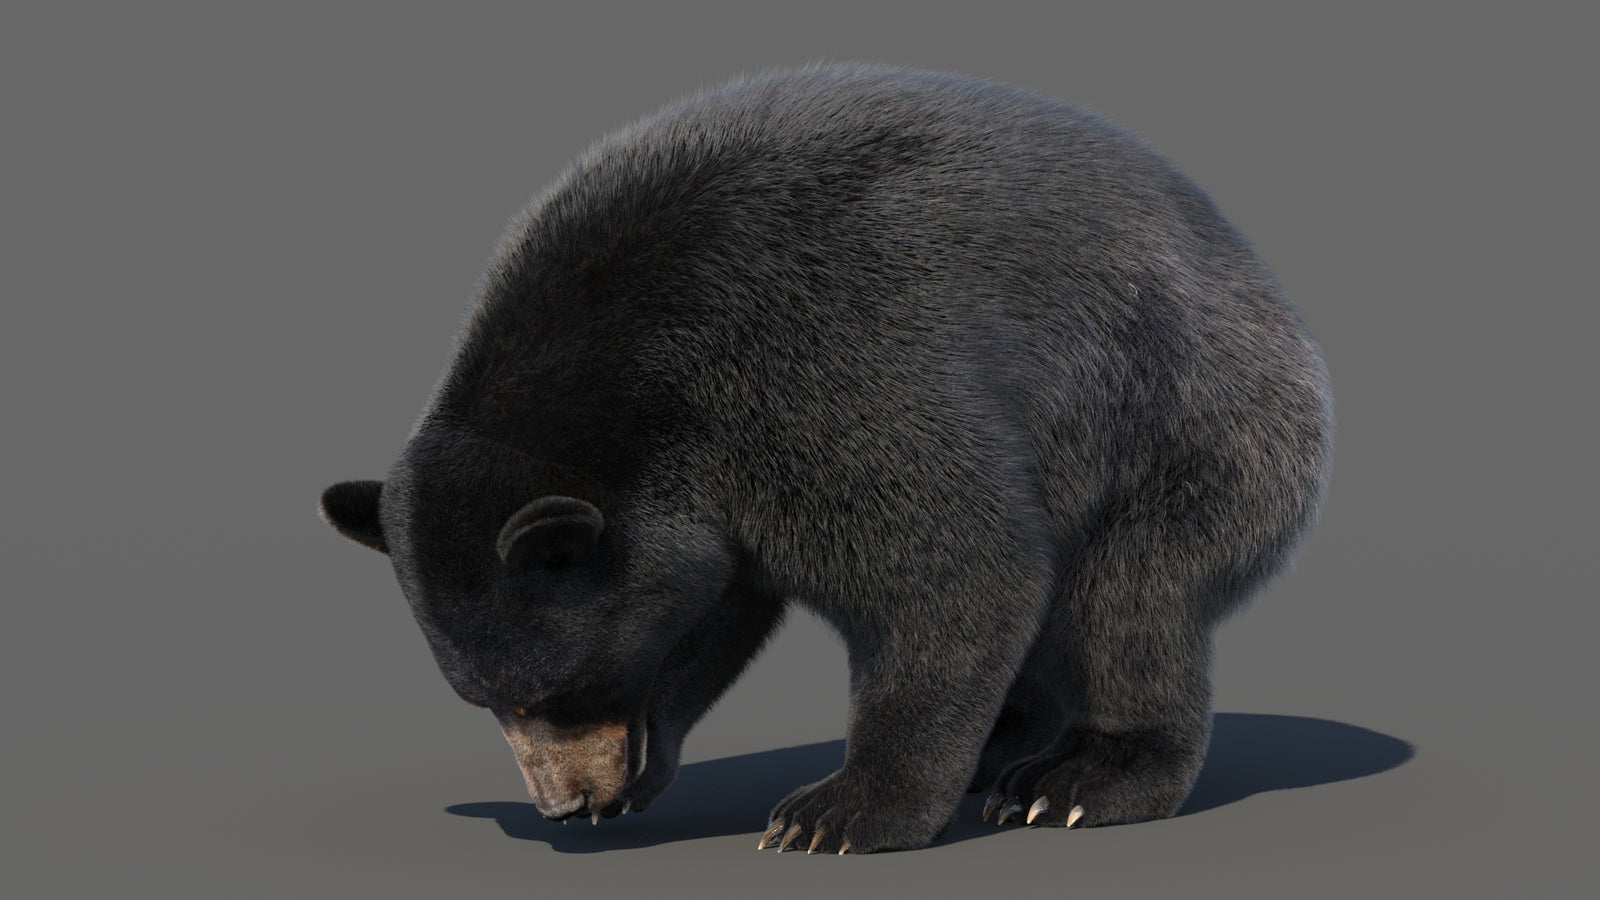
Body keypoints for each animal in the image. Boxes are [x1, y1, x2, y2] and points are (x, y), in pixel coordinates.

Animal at [319, 62, 1332, 854]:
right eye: (481, 697)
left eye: (555, 690)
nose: (566, 805)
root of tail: (1268, 288)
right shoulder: (708, 491)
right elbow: (711, 607)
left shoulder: (822, 369)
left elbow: (956, 566)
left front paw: (839, 811)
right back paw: (1007, 745)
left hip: (1187, 424)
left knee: (1128, 599)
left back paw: (1077, 779)